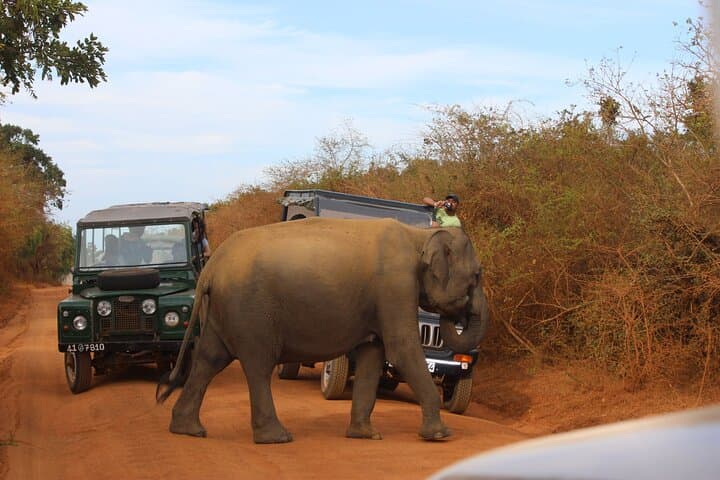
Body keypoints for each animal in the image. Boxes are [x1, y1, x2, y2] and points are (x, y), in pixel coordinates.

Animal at [156, 217, 489, 443]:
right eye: (476, 275)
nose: (457, 312)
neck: (419, 234)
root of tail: (210, 269)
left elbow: (373, 356)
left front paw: (366, 435)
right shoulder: (395, 285)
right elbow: (402, 348)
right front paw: (441, 435)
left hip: (223, 312)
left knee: (209, 359)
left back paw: (188, 430)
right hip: (250, 311)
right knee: (258, 364)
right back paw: (277, 438)